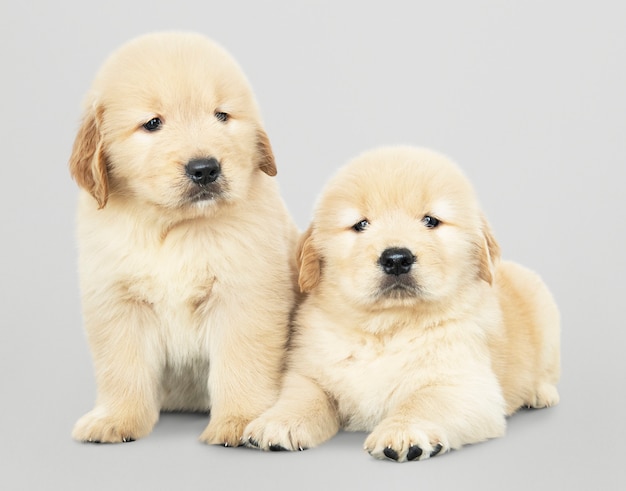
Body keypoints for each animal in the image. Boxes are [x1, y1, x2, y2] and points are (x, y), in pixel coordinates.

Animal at [68, 30, 298, 446]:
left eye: (221, 116)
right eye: (152, 124)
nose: (205, 168)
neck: (172, 228)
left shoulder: (244, 298)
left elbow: (242, 363)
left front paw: (239, 420)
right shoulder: (117, 301)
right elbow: (121, 368)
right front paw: (116, 419)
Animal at [241, 146, 560, 462]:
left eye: (431, 221)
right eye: (361, 224)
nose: (396, 259)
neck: (387, 326)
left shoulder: (465, 384)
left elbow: (424, 401)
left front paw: (403, 432)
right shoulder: (309, 371)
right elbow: (303, 397)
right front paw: (278, 423)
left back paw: (539, 393)